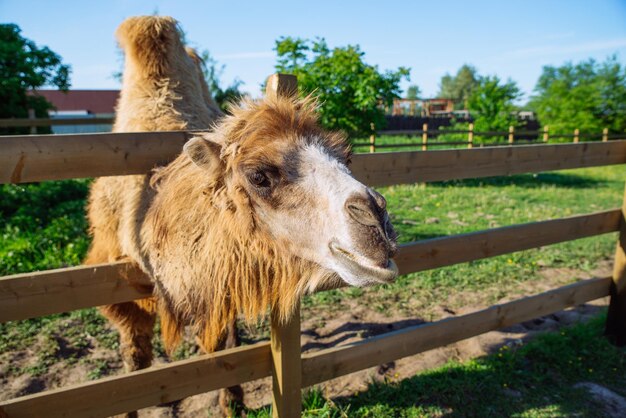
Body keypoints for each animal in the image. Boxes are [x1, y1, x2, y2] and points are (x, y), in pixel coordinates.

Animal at [85, 15, 398, 414]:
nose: (376, 223)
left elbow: (220, 344)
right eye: (259, 175)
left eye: (346, 156)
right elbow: (134, 360)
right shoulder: (121, 282)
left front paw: (232, 402)